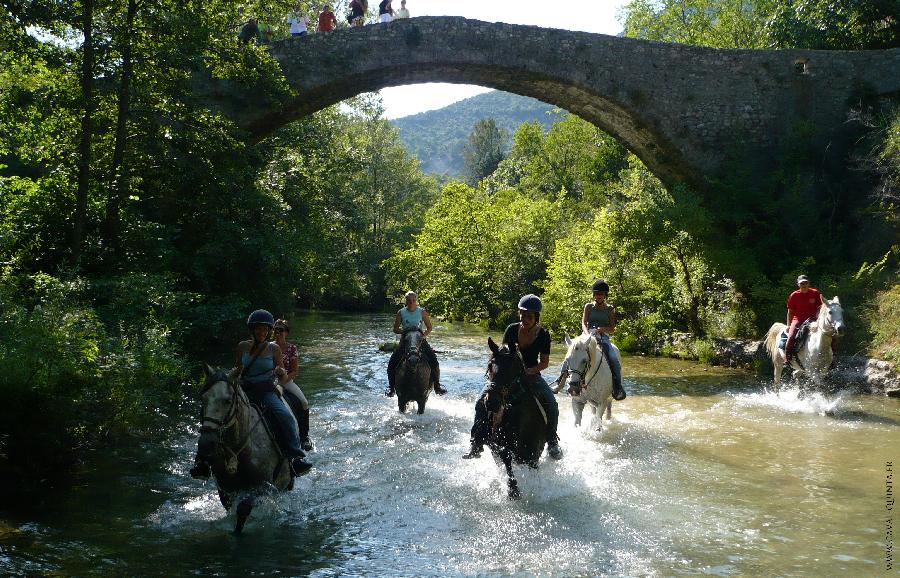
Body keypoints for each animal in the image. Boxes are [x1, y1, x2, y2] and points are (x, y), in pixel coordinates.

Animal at [486, 336, 548, 498]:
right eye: (489, 366)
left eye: (511, 369)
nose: (492, 402)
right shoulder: (498, 449)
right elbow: (506, 458)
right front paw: (513, 489)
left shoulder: (533, 455)